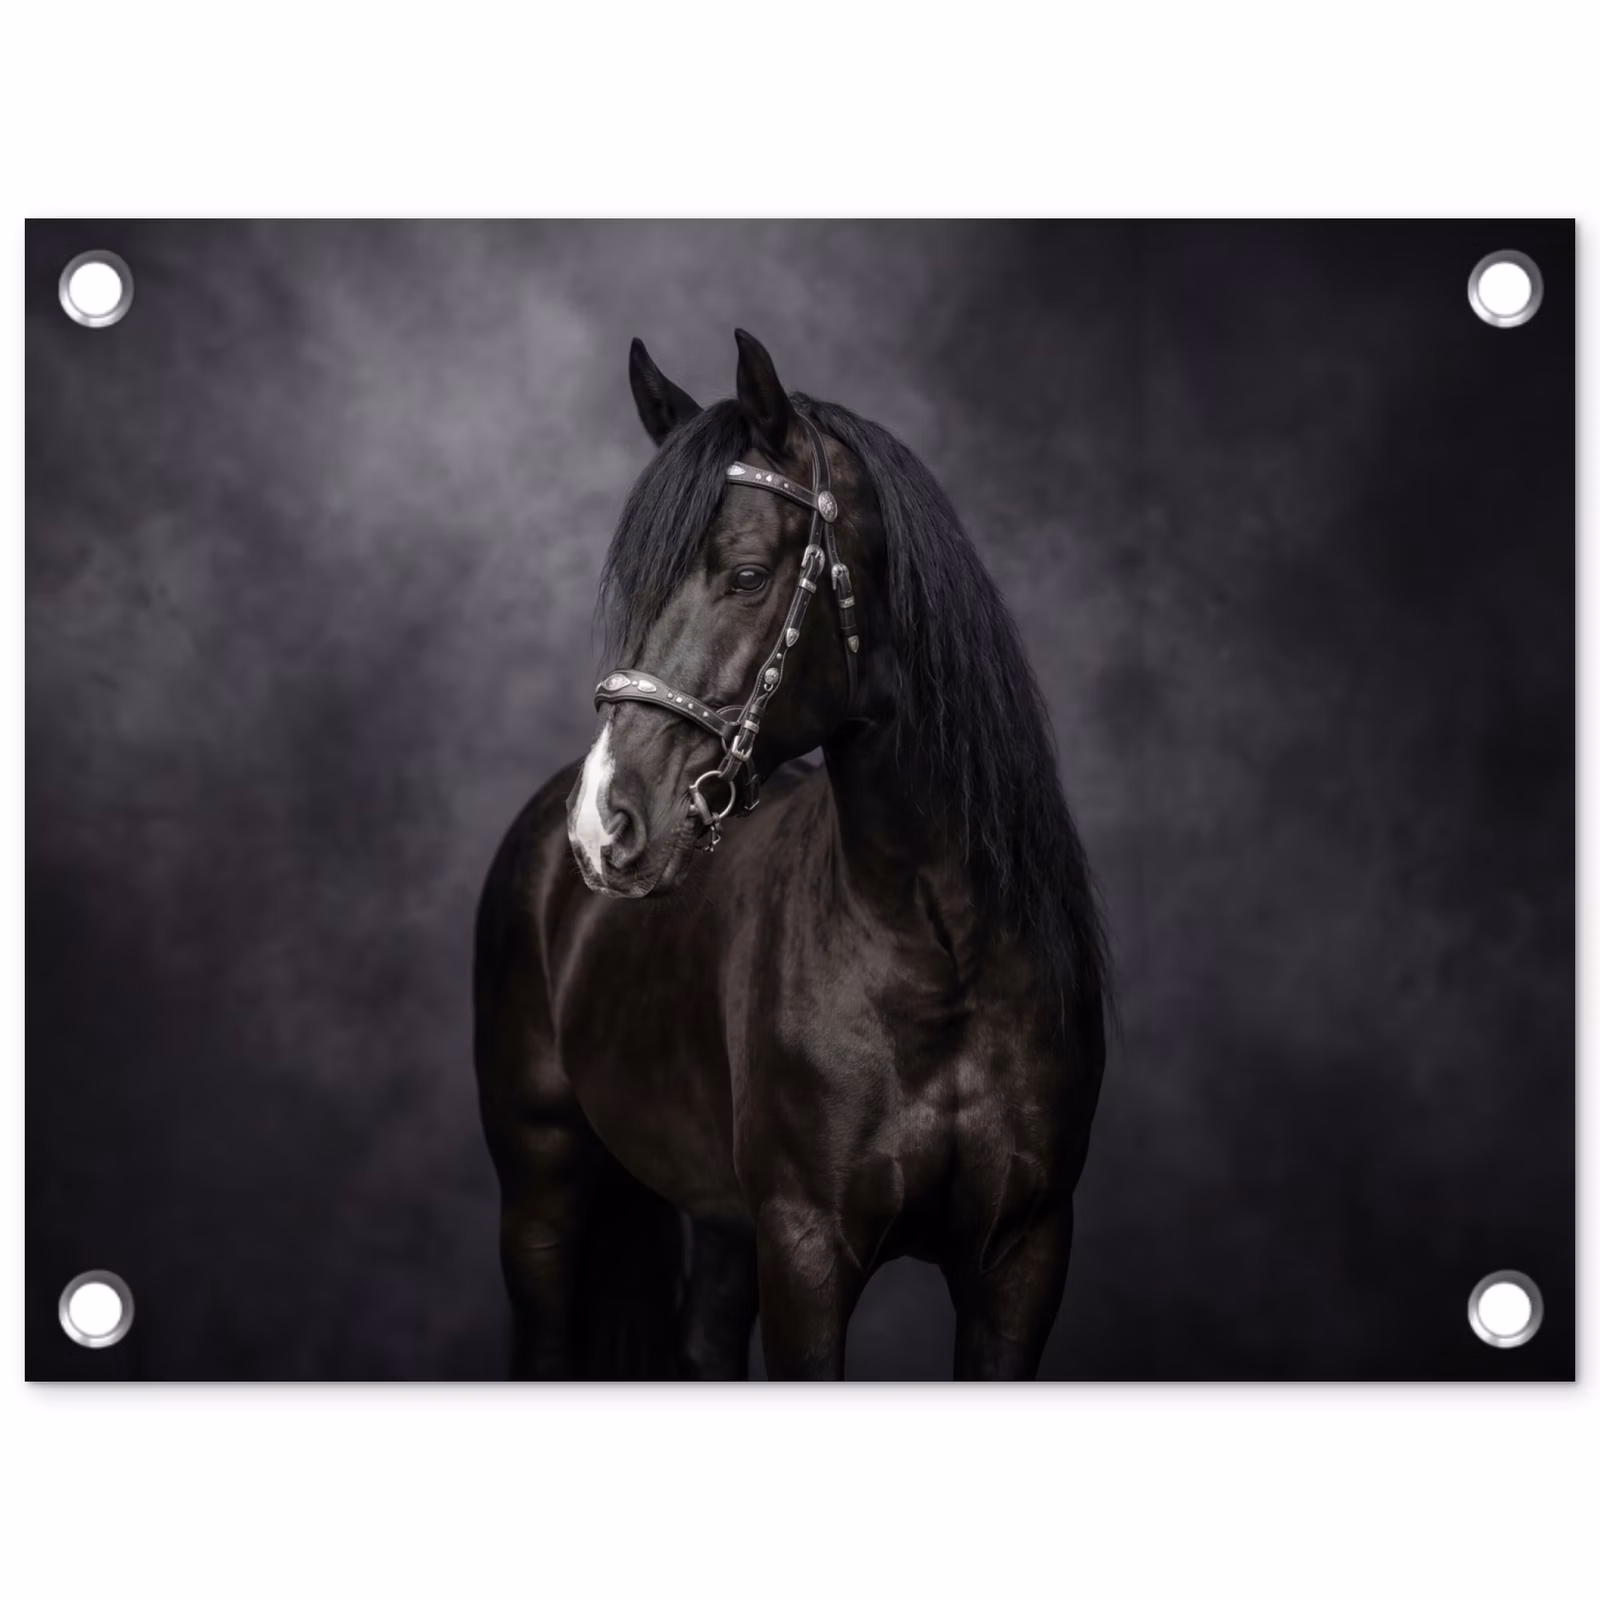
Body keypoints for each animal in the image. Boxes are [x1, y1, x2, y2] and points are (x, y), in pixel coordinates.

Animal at [473, 329, 1108, 1379]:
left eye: (744, 576)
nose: (604, 823)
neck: (942, 952)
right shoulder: (807, 1247)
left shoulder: (1024, 1255)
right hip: (541, 1193)